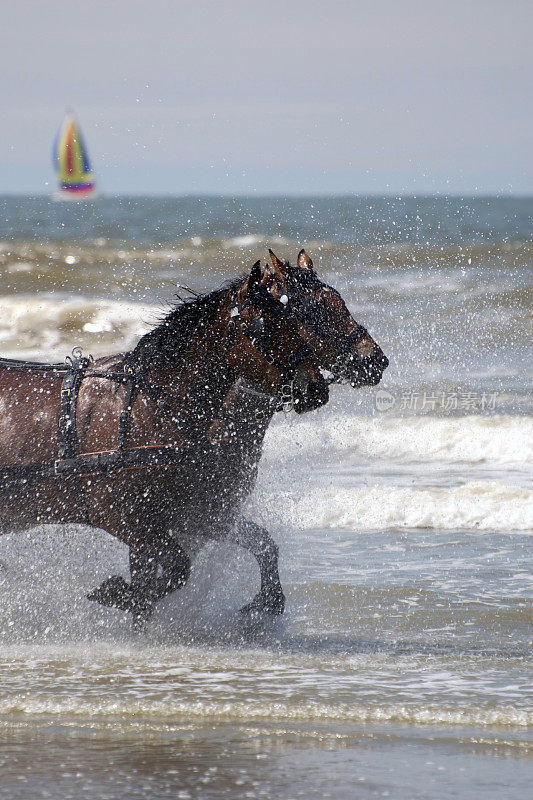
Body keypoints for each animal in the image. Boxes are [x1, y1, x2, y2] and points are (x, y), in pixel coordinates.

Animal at [0, 262, 328, 624]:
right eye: (266, 326)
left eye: (295, 320)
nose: (315, 387)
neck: (151, 404)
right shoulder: (121, 516)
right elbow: (177, 567)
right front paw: (122, 594)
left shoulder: (194, 512)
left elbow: (259, 543)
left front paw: (267, 601)